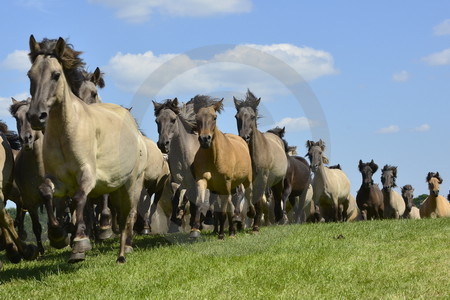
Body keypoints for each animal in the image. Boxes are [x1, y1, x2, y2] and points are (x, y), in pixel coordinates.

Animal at [26, 36, 148, 264]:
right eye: (30, 75)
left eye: (56, 75)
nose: (36, 116)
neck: (65, 132)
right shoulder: (59, 180)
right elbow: (47, 193)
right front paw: (58, 235)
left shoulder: (87, 175)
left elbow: (79, 200)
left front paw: (80, 242)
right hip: (117, 186)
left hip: (132, 184)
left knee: (129, 214)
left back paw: (123, 252)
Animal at [191, 95, 253, 238]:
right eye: (197, 118)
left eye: (214, 117)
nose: (205, 139)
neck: (213, 157)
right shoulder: (202, 180)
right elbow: (200, 203)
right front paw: (195, 230)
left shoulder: (225, 183)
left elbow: (224, 210)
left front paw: (221, 235)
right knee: (230, 206)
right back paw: (231, 230)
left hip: (246, 181)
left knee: (247, 196)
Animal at [234, 91, 290, 227]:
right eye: (236, 117)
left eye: (253, 116)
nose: (245, 137)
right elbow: (248, 194)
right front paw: (250, 214)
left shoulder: (262, 178)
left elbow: (258, 199)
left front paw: (255, 225)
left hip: (278, 180)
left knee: (277, 196)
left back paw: (278, 218)